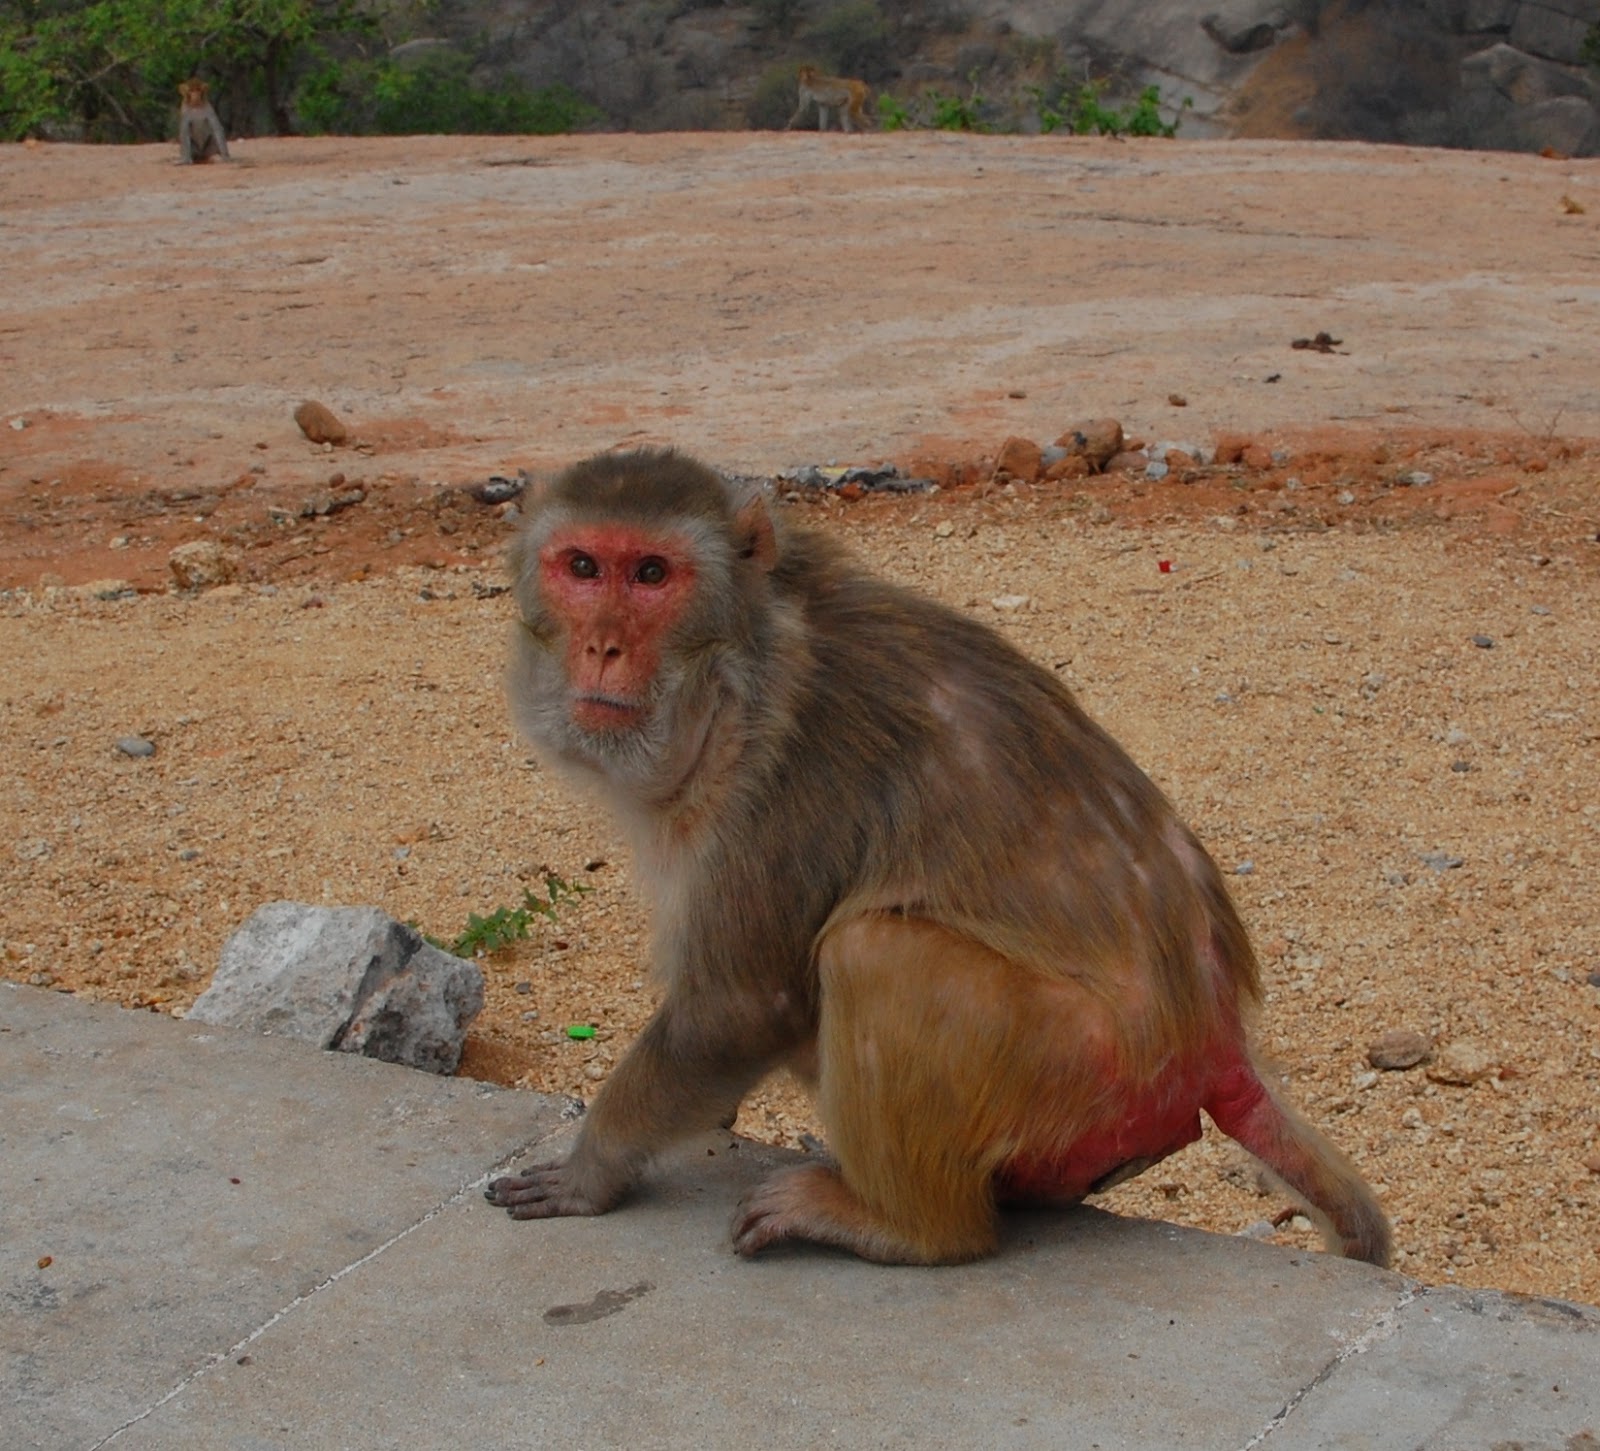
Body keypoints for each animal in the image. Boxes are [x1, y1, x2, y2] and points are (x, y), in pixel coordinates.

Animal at [486, 448, 1392, 1269]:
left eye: (649, 574)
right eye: (580, 566)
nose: (602, 647)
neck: (740, 664)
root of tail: (1214, 1034)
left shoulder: (784, 770)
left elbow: (741, 1006)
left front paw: (589, 1166)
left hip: (1082, 1068)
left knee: (871, 951)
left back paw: (907, 1226)